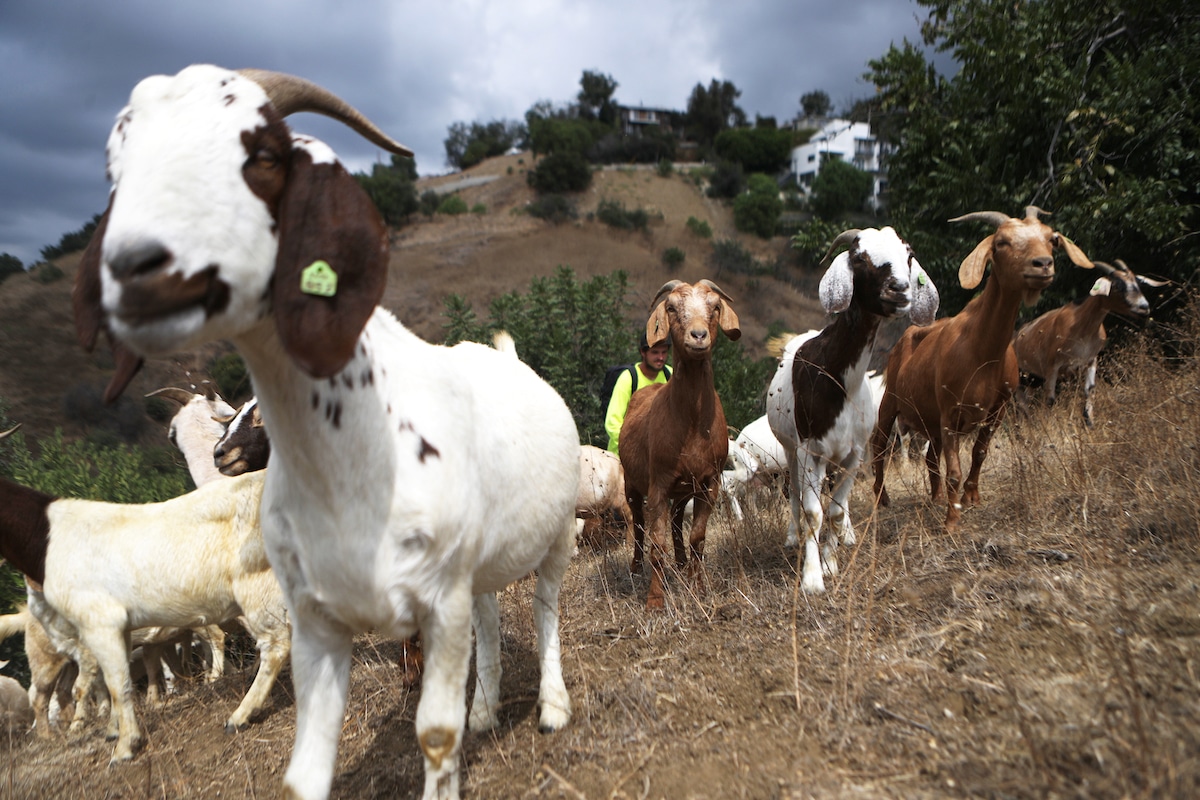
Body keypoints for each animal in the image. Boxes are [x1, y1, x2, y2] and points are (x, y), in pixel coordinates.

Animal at [73, 65, 578, 800]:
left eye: (263, 156)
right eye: (117, 171)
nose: (137, 270)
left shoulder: (437, 600)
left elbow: (435, 732)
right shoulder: (317, 621)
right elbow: (305, 770)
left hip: (558, 531)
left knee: (544, 606)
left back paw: (553, 706)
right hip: (478, 566)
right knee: (490, 614)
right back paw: (485, 709)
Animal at [619, 280, 740, 609]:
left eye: (715, 306)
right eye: (672, 307)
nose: (698, 335)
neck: (692, 424)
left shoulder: (710, 483)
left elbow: (698, 538)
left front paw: (698, 590)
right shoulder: (658, 484)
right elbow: (656, 544)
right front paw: (655, 600)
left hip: (685, 487)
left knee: (676, 521)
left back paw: (683, 563)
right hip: (632, 483)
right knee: (638, 525)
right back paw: (635, 568)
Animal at [767, 227, 939, 593]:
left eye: (908, 255)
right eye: (859, 258)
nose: (899, 289)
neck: (838, 377)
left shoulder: (854, 453)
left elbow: (833, 511)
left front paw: (830, 563)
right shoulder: (808, 451)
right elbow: (813, 512)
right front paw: (812, 577)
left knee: (838, 502)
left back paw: (845, 535)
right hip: (790, 448)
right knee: (795, 494)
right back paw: (793, 538)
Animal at [872, 207, 1093, 530]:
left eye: (1052, 239)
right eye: (1001, 242)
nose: (1042, 265)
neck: (982, 352)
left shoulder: (997, 408)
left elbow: (980, 453)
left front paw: (971, 498)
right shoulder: (950, 410)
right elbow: (954, 470)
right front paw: (952, 521)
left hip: (930, 419)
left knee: (930, 457)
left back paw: (935, 498)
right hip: (891, 401)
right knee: (878, 445)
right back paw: (881, 498)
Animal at [1014, 259, 1165, 426]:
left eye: (1136, 283)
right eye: (1117, 285)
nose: (1144, 307)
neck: (1083, 327)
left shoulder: (1090, 360)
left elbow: (1089, 391)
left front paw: (1090, 423)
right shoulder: (1052, 365)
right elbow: (1050, 399)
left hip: (1033, 378)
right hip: (1020, 375)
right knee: (1021, 402)